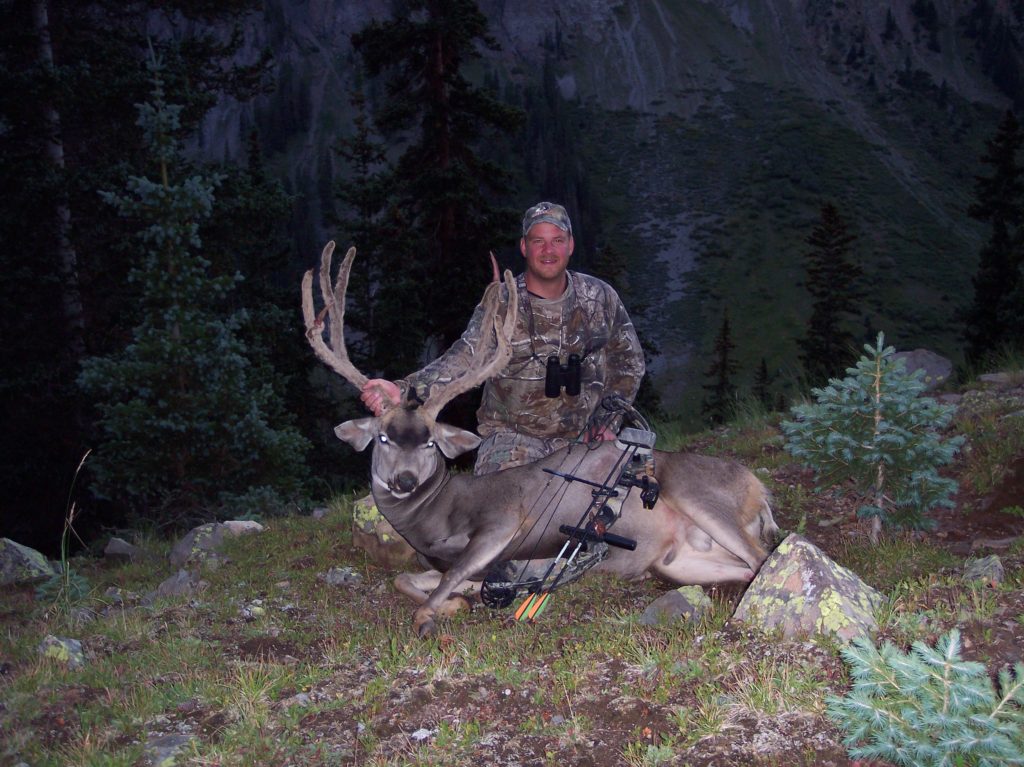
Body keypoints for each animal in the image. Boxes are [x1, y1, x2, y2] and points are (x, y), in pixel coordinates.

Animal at [303, 241, 778, 637]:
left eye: (431, 443)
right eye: (383, 438)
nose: (404, 480)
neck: (435, 520)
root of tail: (759, 487)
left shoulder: (501, 524)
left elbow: (444, 584)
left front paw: (441, 611)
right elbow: (406, 579)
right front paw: (457, 601)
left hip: (698, 493)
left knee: (761, 557)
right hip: (679, 560)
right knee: (741, 566)